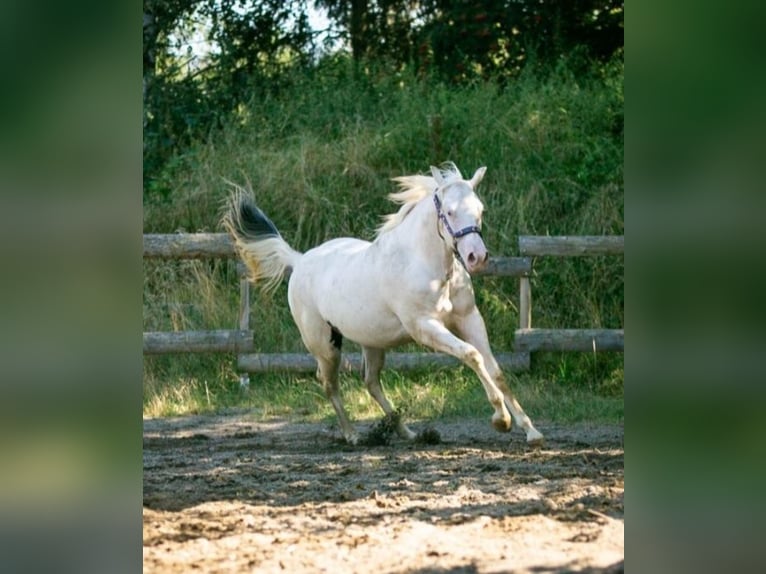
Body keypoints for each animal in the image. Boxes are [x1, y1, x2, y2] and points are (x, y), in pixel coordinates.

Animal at [222, 164, 544, 448]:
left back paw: (407, 432)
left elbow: (495, 369)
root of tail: (299, 261)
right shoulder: (425, 327)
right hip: (325, 345)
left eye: (480, 210)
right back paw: (353, 435)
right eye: (450, 212)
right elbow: (472, 356)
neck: (424, 264)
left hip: (373, 342)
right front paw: (501, 419)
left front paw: (531, 431)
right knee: (329, 383)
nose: (477, 257)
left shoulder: (469, 319)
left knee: (370, 381)